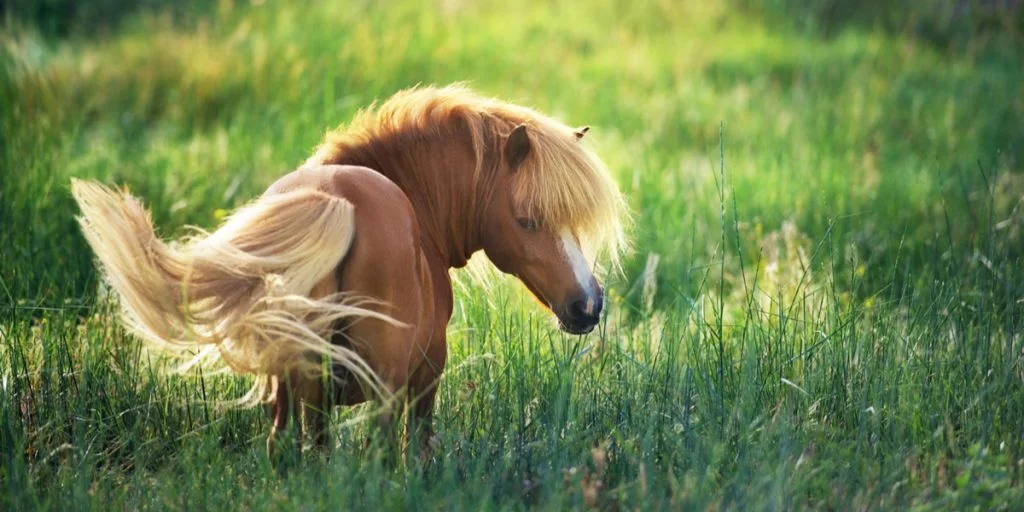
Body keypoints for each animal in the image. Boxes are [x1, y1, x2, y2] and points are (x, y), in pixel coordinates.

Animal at [71, 84, 628, 459]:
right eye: (528, 219)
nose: (588, 304)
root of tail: (334, 200)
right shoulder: (424, 382)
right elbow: (417, 453)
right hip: (378, 389)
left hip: (293, 388)